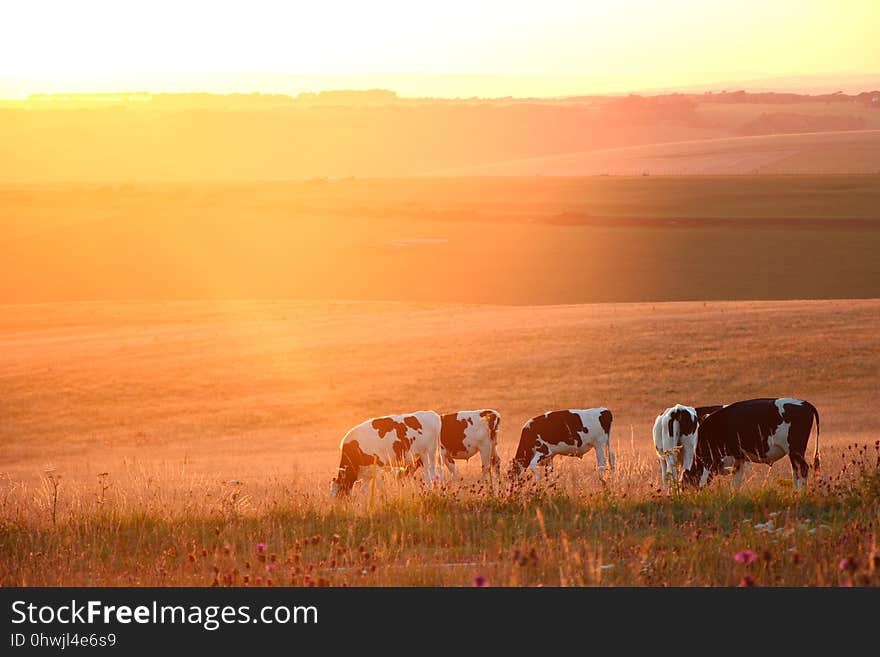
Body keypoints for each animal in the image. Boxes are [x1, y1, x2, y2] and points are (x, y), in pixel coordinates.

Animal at [680, 398, 820, 490]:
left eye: (685, 486)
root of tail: (806, 403)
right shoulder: (739, 459)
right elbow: (736, 481)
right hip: (793, 453)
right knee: (796, 471)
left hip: (795, 450)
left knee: (803, 468)